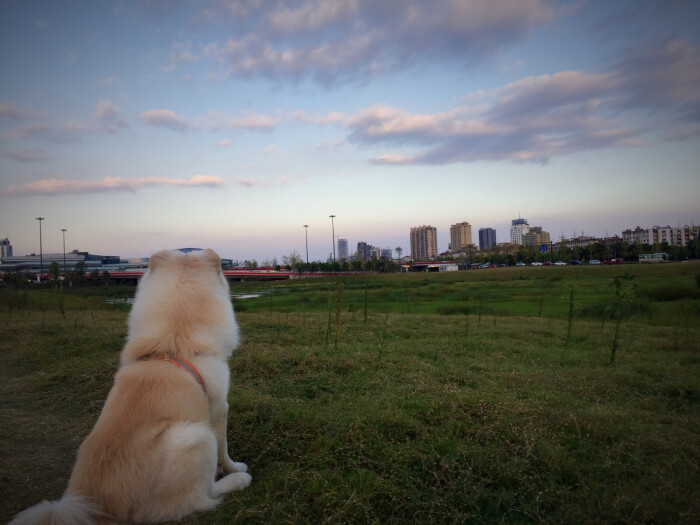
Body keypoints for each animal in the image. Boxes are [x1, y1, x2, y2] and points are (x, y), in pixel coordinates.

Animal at [11, 249, 252, 524]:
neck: (174, 341)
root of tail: (101, 508)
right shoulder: (220, 408)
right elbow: (225, 451)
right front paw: (234, 467)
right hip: (197, 437)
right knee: (201, 497)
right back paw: (240, 479)